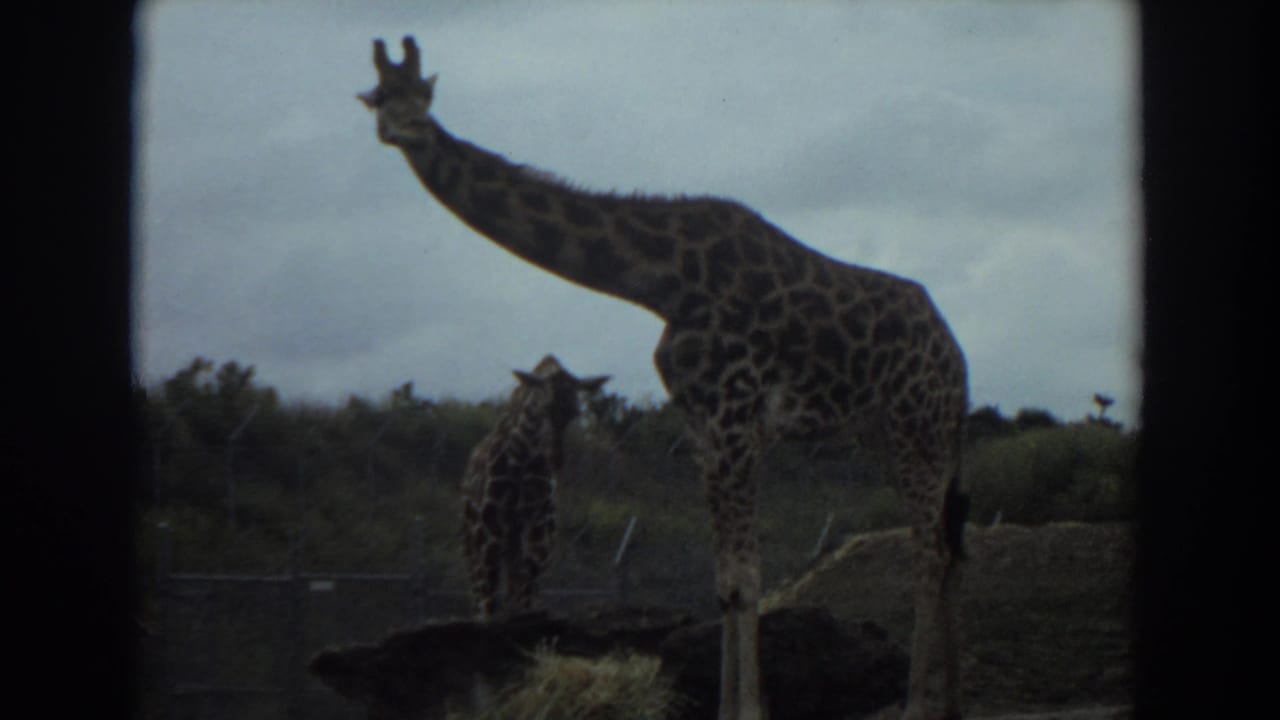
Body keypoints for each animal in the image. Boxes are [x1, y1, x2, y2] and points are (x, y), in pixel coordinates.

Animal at [461, 354, 609, 621]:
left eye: (574, 411)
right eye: (543, 407)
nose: (556, 460)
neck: (522, 456)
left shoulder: (540, 525)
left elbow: (525, 587)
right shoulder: (488, 529)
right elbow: (489, 600)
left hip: (512, 540)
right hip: (472, 538)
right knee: (480, 592)